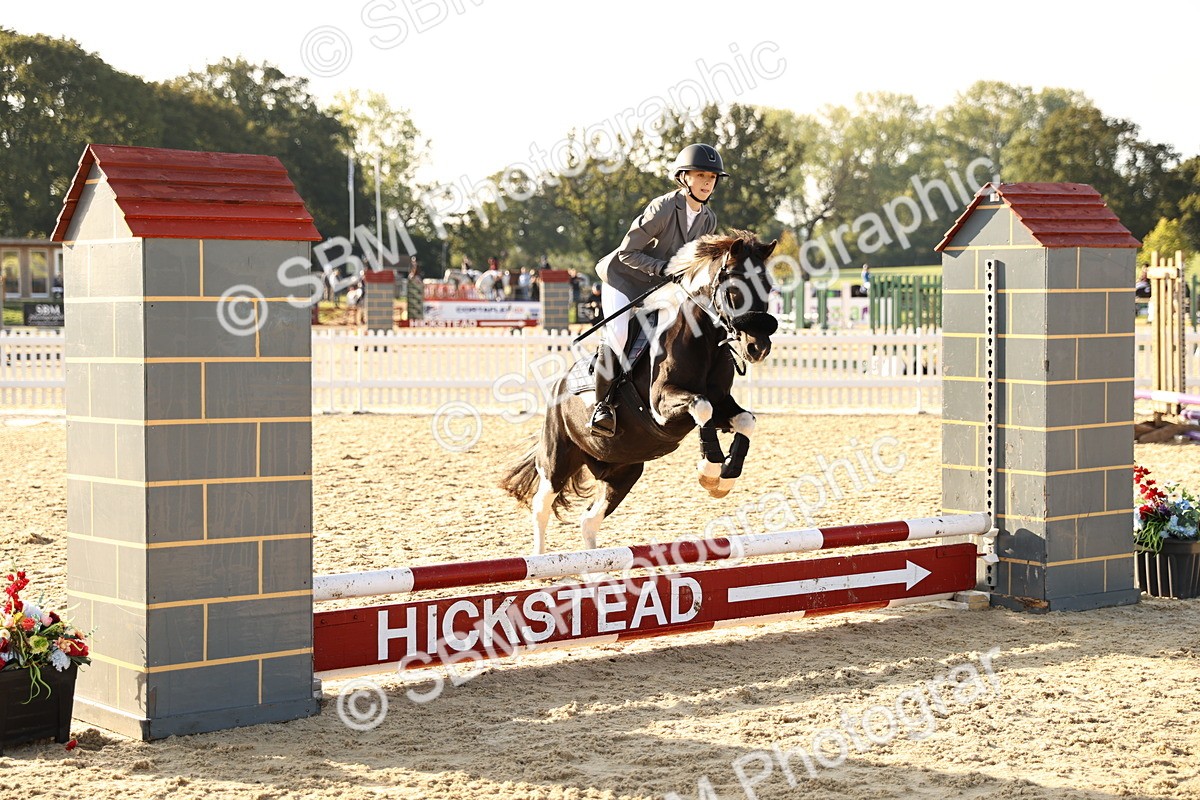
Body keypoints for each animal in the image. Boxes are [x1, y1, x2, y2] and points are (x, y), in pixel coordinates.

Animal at [500, 230, 779, 554]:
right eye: (735, 289)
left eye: (768, 287)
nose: (758, 348)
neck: (703, 340)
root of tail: (558, 386)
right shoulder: (662, 407)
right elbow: (702, 407)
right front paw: (709, 470)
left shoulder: (723, 403)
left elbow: (745, 420)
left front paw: (725, 476)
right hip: (557, 461)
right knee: (541, 507)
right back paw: (540, 558)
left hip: (624, 472)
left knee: (588, 521)